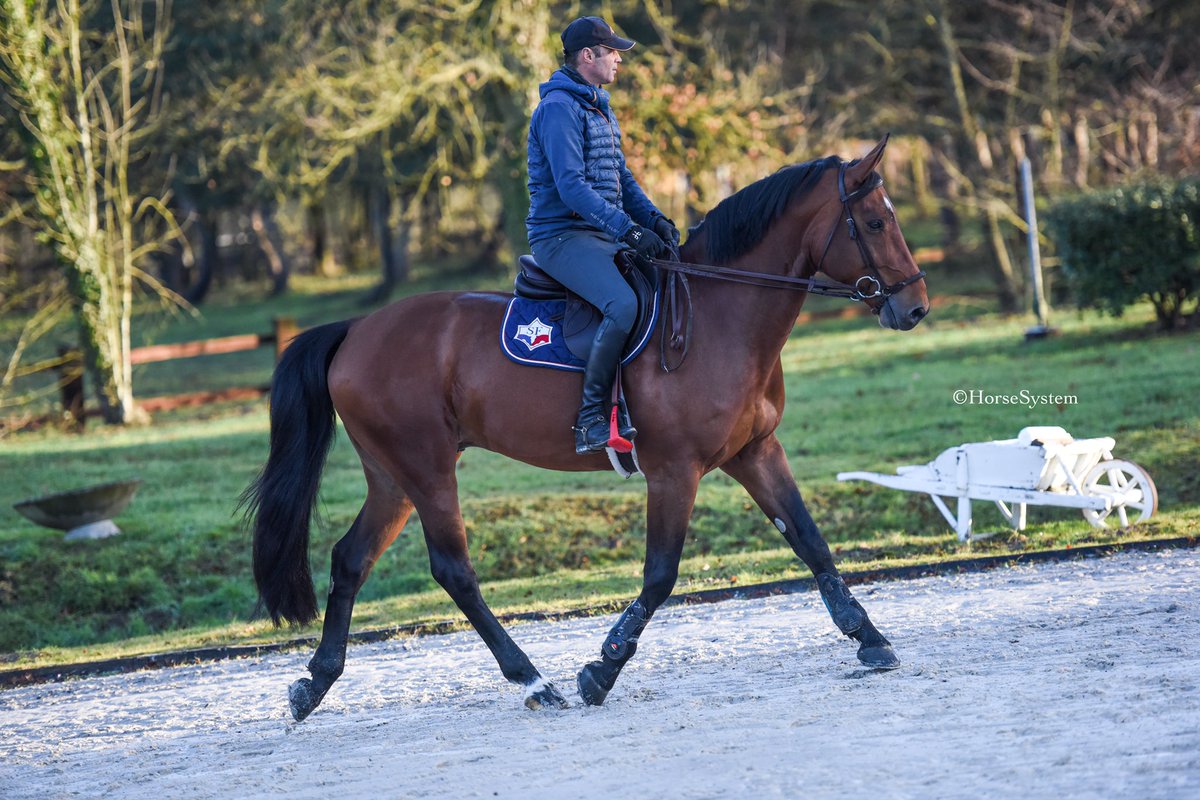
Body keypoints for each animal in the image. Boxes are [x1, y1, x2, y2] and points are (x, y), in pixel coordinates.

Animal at [244, 136, 929, 721]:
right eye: (875, 223)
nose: (916, 307)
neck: (720, 314)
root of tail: (356, 329)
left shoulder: (756, 451)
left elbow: (811, 542)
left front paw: (869, 637)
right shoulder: (673, 471)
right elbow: (660, 574)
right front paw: (602, 669)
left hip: (392, 476)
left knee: (351, 559)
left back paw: (315, 682)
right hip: (426, 467)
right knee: (454, 570)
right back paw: (533, 680)